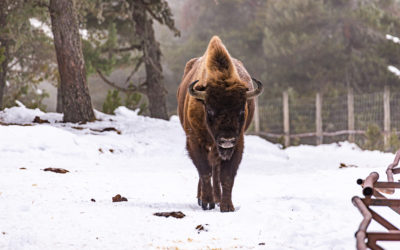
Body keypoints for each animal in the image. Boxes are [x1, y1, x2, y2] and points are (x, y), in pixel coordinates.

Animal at [177, 35, 264, 211]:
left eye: (241, 111)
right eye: (210, 110)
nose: (226, 140)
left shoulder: (238, 143)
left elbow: (226, 175)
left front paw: (226, 206)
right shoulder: (194, 141)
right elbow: (204, 171)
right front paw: (206, 202)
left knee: (216, 168)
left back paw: (217, 198)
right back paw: (203, 198)